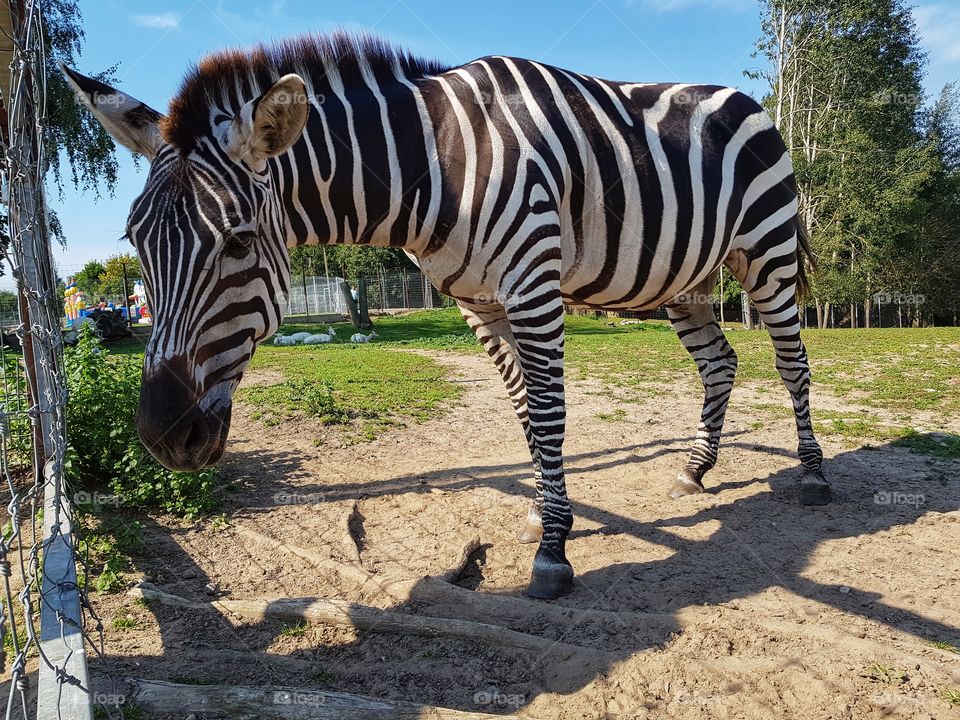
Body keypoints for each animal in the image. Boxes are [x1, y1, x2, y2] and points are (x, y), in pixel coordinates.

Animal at [63, 32, 830, 600]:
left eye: (239, 243)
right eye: (135, 241)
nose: (163, 438)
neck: (433, 169)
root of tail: (745, 97)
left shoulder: (532, 281)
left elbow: (549, 412)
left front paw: (554, 553)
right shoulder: (480, 304)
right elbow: (525, 412)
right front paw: (545, 514)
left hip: (767, 250)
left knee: (793, 362)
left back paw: (813, 478)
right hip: (686, 277)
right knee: (721, 363)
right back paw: (696, 469)